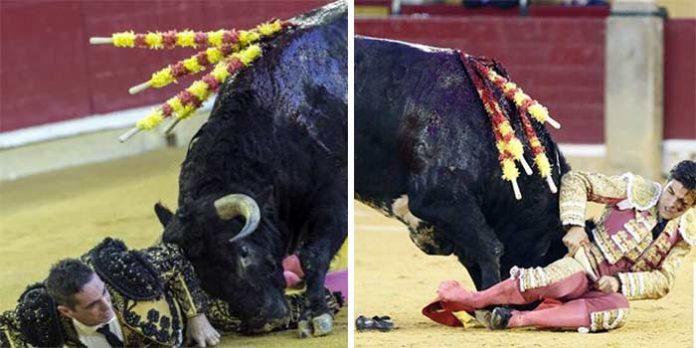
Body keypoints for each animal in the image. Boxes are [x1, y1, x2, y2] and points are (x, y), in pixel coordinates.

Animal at [156, 1, 346, 336]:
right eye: (201, 275)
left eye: (244, 252)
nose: (266, 320)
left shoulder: (335, 196)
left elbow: (313, 254)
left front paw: (316, 315)